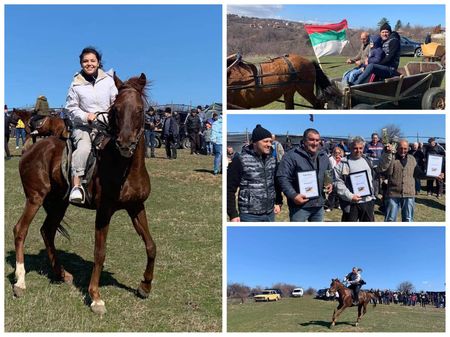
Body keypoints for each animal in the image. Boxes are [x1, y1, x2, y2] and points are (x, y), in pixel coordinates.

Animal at [12, 73, 156, 316]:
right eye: (116, 109)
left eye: (139, 109)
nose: (125, 143)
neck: (125, 166)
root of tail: (30, 149)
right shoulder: (104, 211)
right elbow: (100, 252)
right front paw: (95, 297)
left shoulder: (136, 207)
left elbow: (151, 245)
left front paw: (145, 286)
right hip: (35, 198)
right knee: (20, 230)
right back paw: (20, 282)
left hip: (58, 203)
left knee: (47, 231)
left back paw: (61, 273)